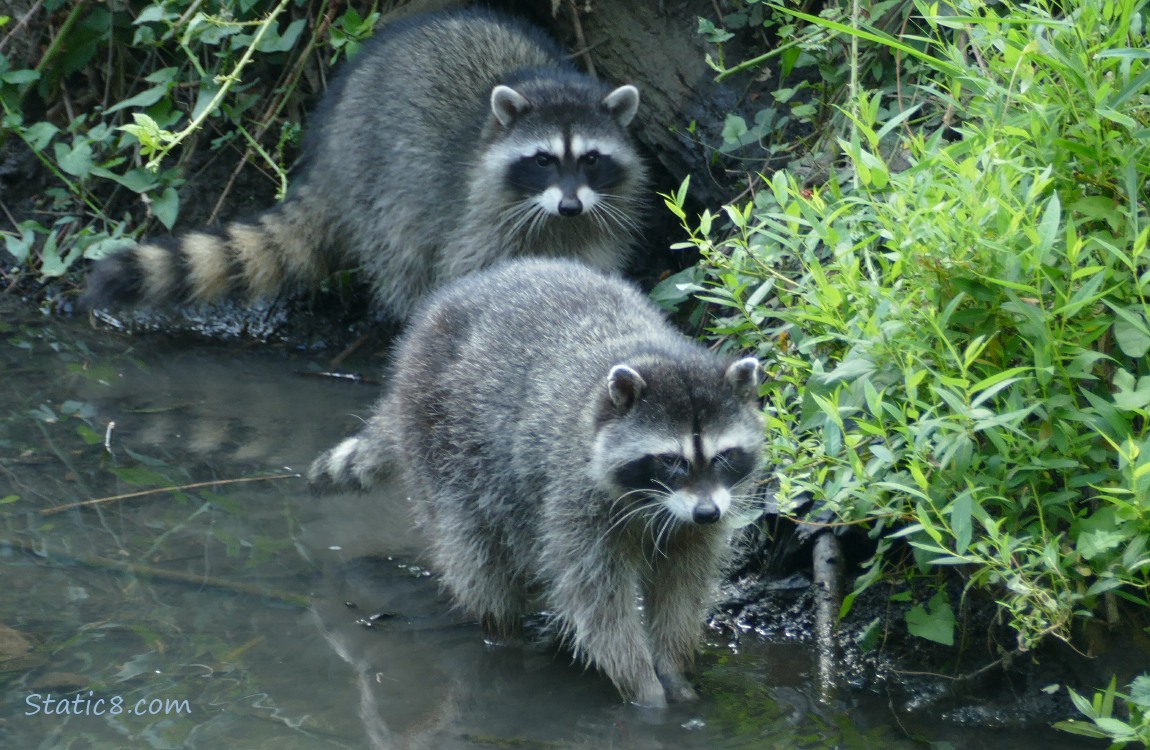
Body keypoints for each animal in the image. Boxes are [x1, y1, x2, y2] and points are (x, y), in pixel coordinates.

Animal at [81, 9, 648, 321]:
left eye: (591, 159)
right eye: (543, 160)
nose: (570, 206)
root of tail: (331, 145)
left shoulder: (597, 223)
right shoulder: (479, 218)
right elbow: (472, 277)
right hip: (380, 186)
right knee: (404, 260)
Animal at [309, 258, 765, 707]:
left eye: (723, 456)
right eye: (670, 460)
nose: (707, 513)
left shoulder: (697, 519)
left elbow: (682, 586)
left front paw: (674, 668)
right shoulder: (573, 494)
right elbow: (597, 597)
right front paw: (643, 688)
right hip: (442, 442)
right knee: (476, 554)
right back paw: (503, 633)